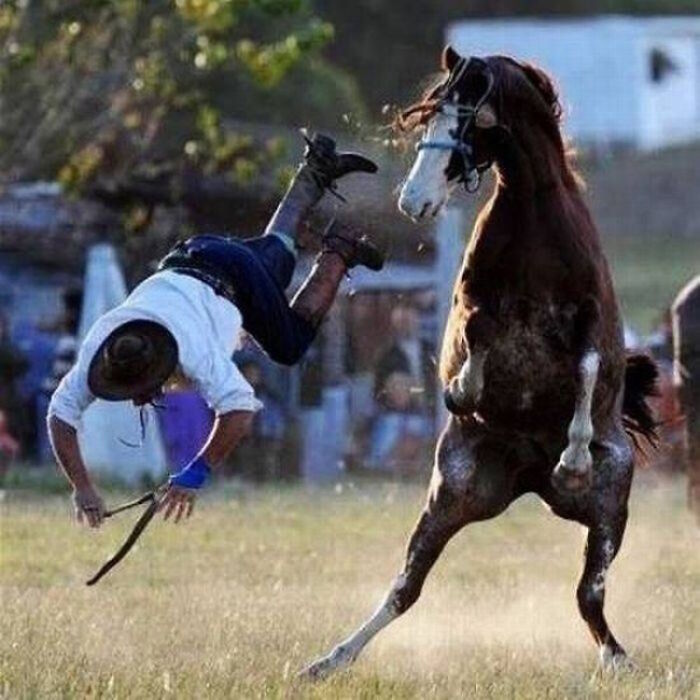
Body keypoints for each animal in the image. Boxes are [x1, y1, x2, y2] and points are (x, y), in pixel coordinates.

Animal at [300, 47, 658, 679]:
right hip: (453, 495)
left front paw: (573, 457)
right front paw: (464, 391)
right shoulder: (473, 298)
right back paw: (332, 658)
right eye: (429, 115)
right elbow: (475, 334)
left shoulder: (591, 317)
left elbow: (589, 367)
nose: (412, 201)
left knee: (589, 596)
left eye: (471, 119)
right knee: (405, 588)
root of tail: (529, 479)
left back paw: (617, 659)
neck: (536, 219)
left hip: (610, 507)